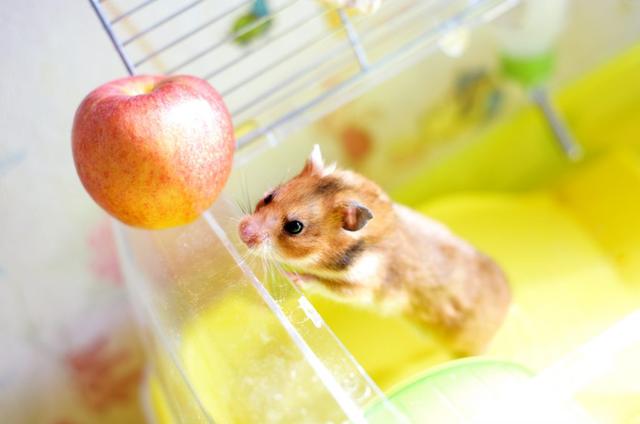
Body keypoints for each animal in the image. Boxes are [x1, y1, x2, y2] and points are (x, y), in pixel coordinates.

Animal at [238, 145, 510, 355]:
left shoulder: (361, 286)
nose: (241, 231)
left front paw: (292, 277)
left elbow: (323, 284)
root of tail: (510, 304)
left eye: (294, 227)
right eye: (270, 196)